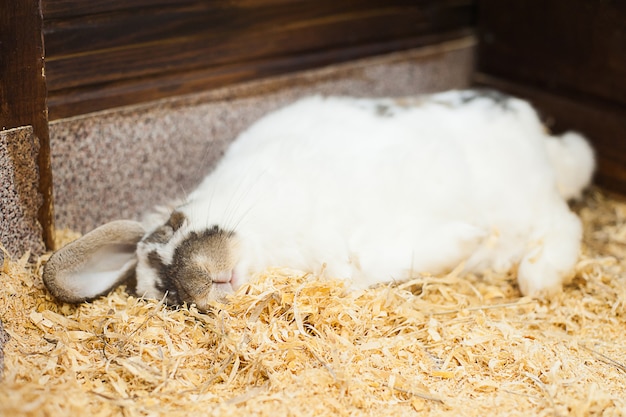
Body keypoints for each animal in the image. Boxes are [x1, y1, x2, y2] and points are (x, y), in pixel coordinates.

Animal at [41, 89, 592, 310]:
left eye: (177, 222)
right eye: (170, 298)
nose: (201, 282)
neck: (269, 243)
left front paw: (473, 236)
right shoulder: (364, 260)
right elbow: (405, 254)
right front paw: (471, 240)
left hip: (526, 192)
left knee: (565, 222)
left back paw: (539, 277)